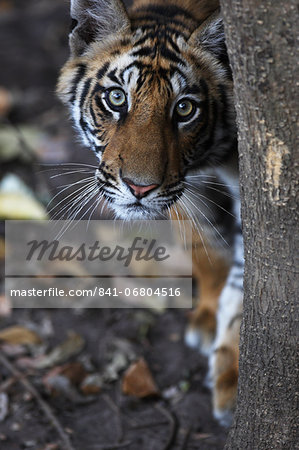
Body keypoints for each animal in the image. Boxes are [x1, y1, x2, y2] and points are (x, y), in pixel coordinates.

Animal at [57, 0, 245, 428]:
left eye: (185, 108)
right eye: (116, 99)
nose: (139, 188)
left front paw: (233, 381)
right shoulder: (187, 192)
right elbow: (203, 247)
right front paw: (207, 316)